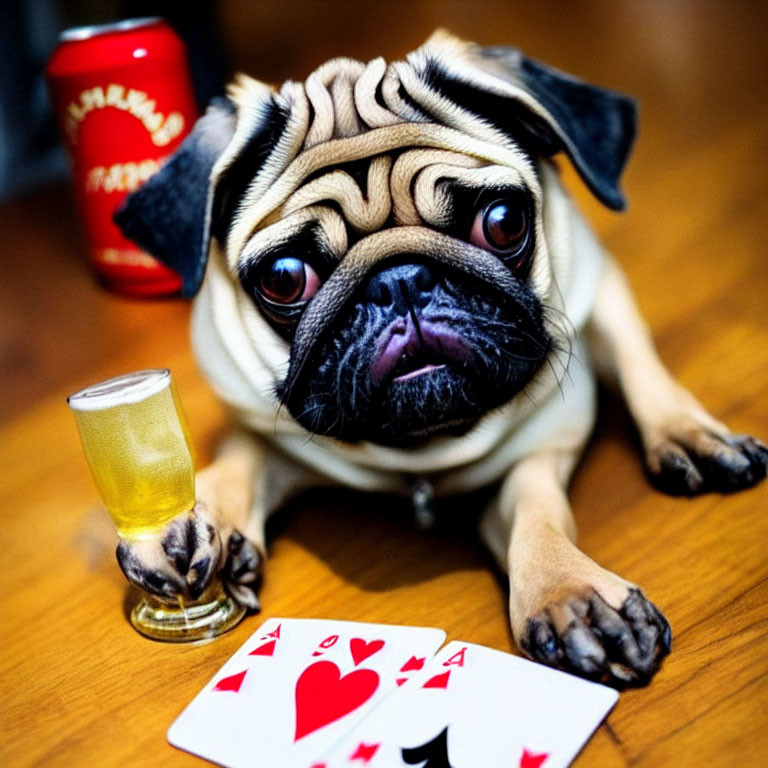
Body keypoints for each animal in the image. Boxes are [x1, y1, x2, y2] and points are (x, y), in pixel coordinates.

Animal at [115, 33, 768, 688]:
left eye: (502, 224)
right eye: (284, 278)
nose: (400, 280)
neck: (421, 454)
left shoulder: (538, 451)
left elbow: (537, 515)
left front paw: (568, 591)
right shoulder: (266, 436)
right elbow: (234, 467)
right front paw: (190, 523)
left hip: (603, 289)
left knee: (638, 362)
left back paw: (691, 437)